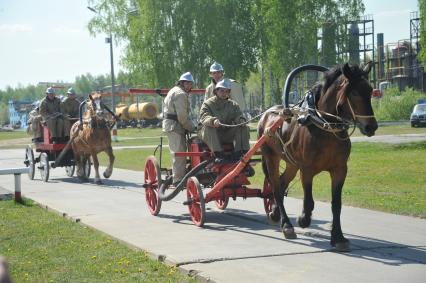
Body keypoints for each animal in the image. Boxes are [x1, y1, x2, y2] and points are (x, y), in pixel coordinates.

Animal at [258, 63, 378, 252]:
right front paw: (303, 219)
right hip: (271, 157)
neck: (323, 124)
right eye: (354, 93)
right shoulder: (307, 170)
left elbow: (336, 204)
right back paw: (286, 225)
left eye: (370, 90)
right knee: (276, 187)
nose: (371, 126)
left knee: (282, 183)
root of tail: (266, 114)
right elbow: (309, 202)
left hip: (292, 163)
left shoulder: (339, 170)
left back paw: (276, 213)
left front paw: (338, 237)